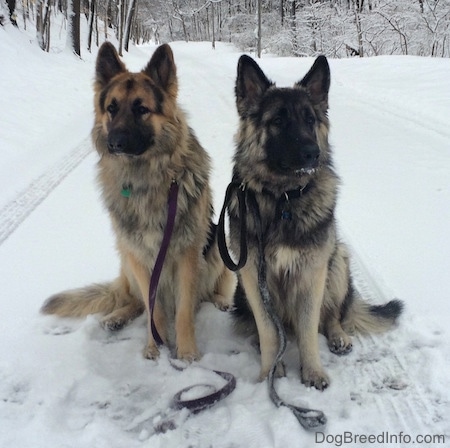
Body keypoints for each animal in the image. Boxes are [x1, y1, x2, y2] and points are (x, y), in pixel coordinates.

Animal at [42, 43, 236, 362]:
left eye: (141, 109)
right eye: (112, 108)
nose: (115, 144)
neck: (147, 179)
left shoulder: (187, 255)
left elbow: (184, 310)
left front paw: (186, 353)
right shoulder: (141, 257)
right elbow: (152, 309)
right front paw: (155, 346)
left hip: (217, 248)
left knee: (210, 293)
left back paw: (221, 302)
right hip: (126, 257)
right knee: (136, 301)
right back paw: (117, 316)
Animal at [229, 54, 404, 390]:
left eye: (310, 120)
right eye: (278, 121)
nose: (313, 153)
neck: (283, 199)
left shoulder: (312, 272)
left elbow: (310, 329)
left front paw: (312, 372)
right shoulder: (254, 277)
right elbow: (268, 331)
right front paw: (270, 371)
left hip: (337, 261)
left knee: (333, 316)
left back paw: (338, 336)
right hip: (242, 292)